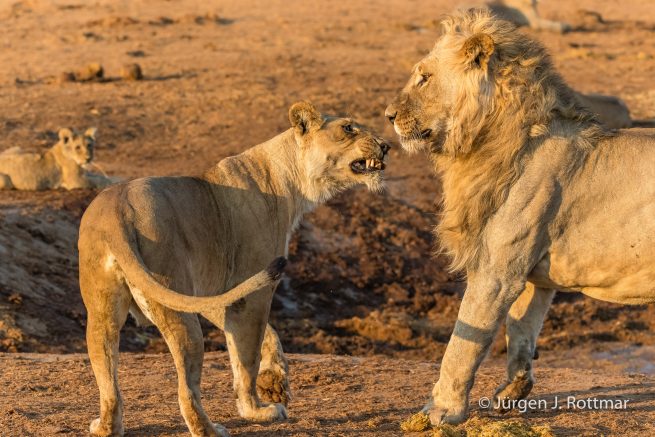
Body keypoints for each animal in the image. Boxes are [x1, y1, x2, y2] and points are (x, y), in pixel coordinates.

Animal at [79, 101, 389, 437]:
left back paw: (105, 426)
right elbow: (247, 355)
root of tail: (117, 211)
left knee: (108, 379)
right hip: (176, 304)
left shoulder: (215, 291)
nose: (386, 146)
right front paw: (256, 409)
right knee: (186, 390)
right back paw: (211, 429)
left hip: (104, 311)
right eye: (348, 128)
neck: (290, 182)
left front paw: (275, 381)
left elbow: (265, 336)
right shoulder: (251, 291)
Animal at [385, 9, 655, 425]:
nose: (388, 116)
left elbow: (463, 342)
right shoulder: (531, 274)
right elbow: (521, 328)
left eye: (424, 77)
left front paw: (439, 410)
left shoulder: (497, 271)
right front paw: (513, 391)